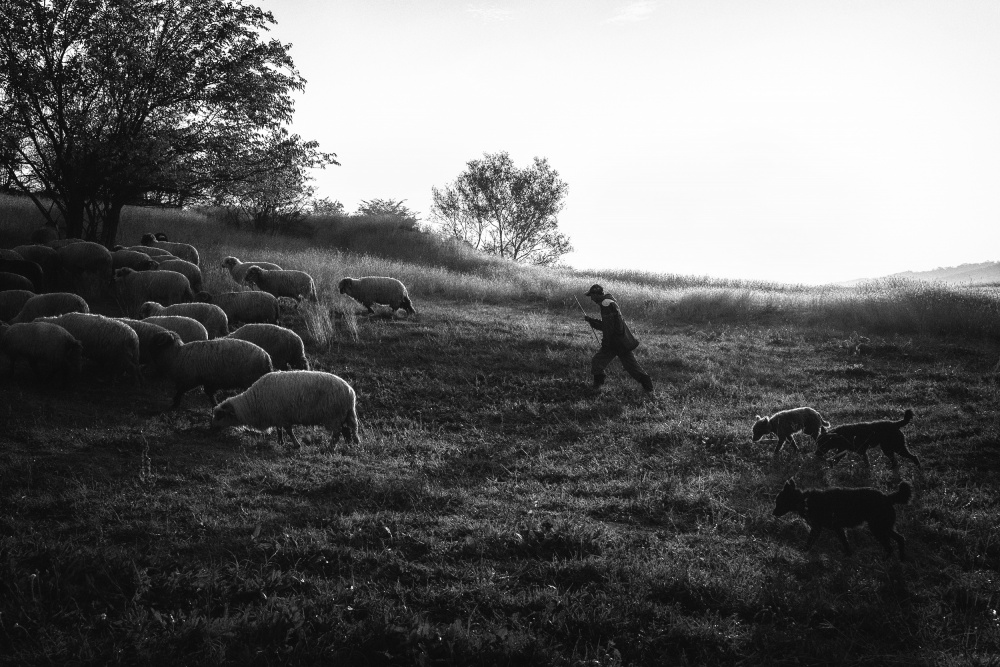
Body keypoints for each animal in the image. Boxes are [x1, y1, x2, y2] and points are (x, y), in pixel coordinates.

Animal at [213, 370, 362, 448]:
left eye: (220, 415)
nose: (211, 428)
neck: (252, 402)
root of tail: (350, 392)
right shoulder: (277, 416)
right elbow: (279, 430)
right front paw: (280, 442)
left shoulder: (282, 417)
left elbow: (288, 431)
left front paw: (296, 444)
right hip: (344, 415)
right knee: (347, 430)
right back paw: (350, 445)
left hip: (334, 416)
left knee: (337, 433)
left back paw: (331, 447)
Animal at [772, 478, 916, 560]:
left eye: (778, 501)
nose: (773, 513)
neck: (804, 500)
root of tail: (887, 497)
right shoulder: (838, 529)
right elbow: (846, 544)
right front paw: (848, 557)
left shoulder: (818, 529)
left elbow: (808, 543)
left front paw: (802, 553)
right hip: (883, 527)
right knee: (900, 539)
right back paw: (901, 559)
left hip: (878, 529)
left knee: (890, 546)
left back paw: (885, 561)